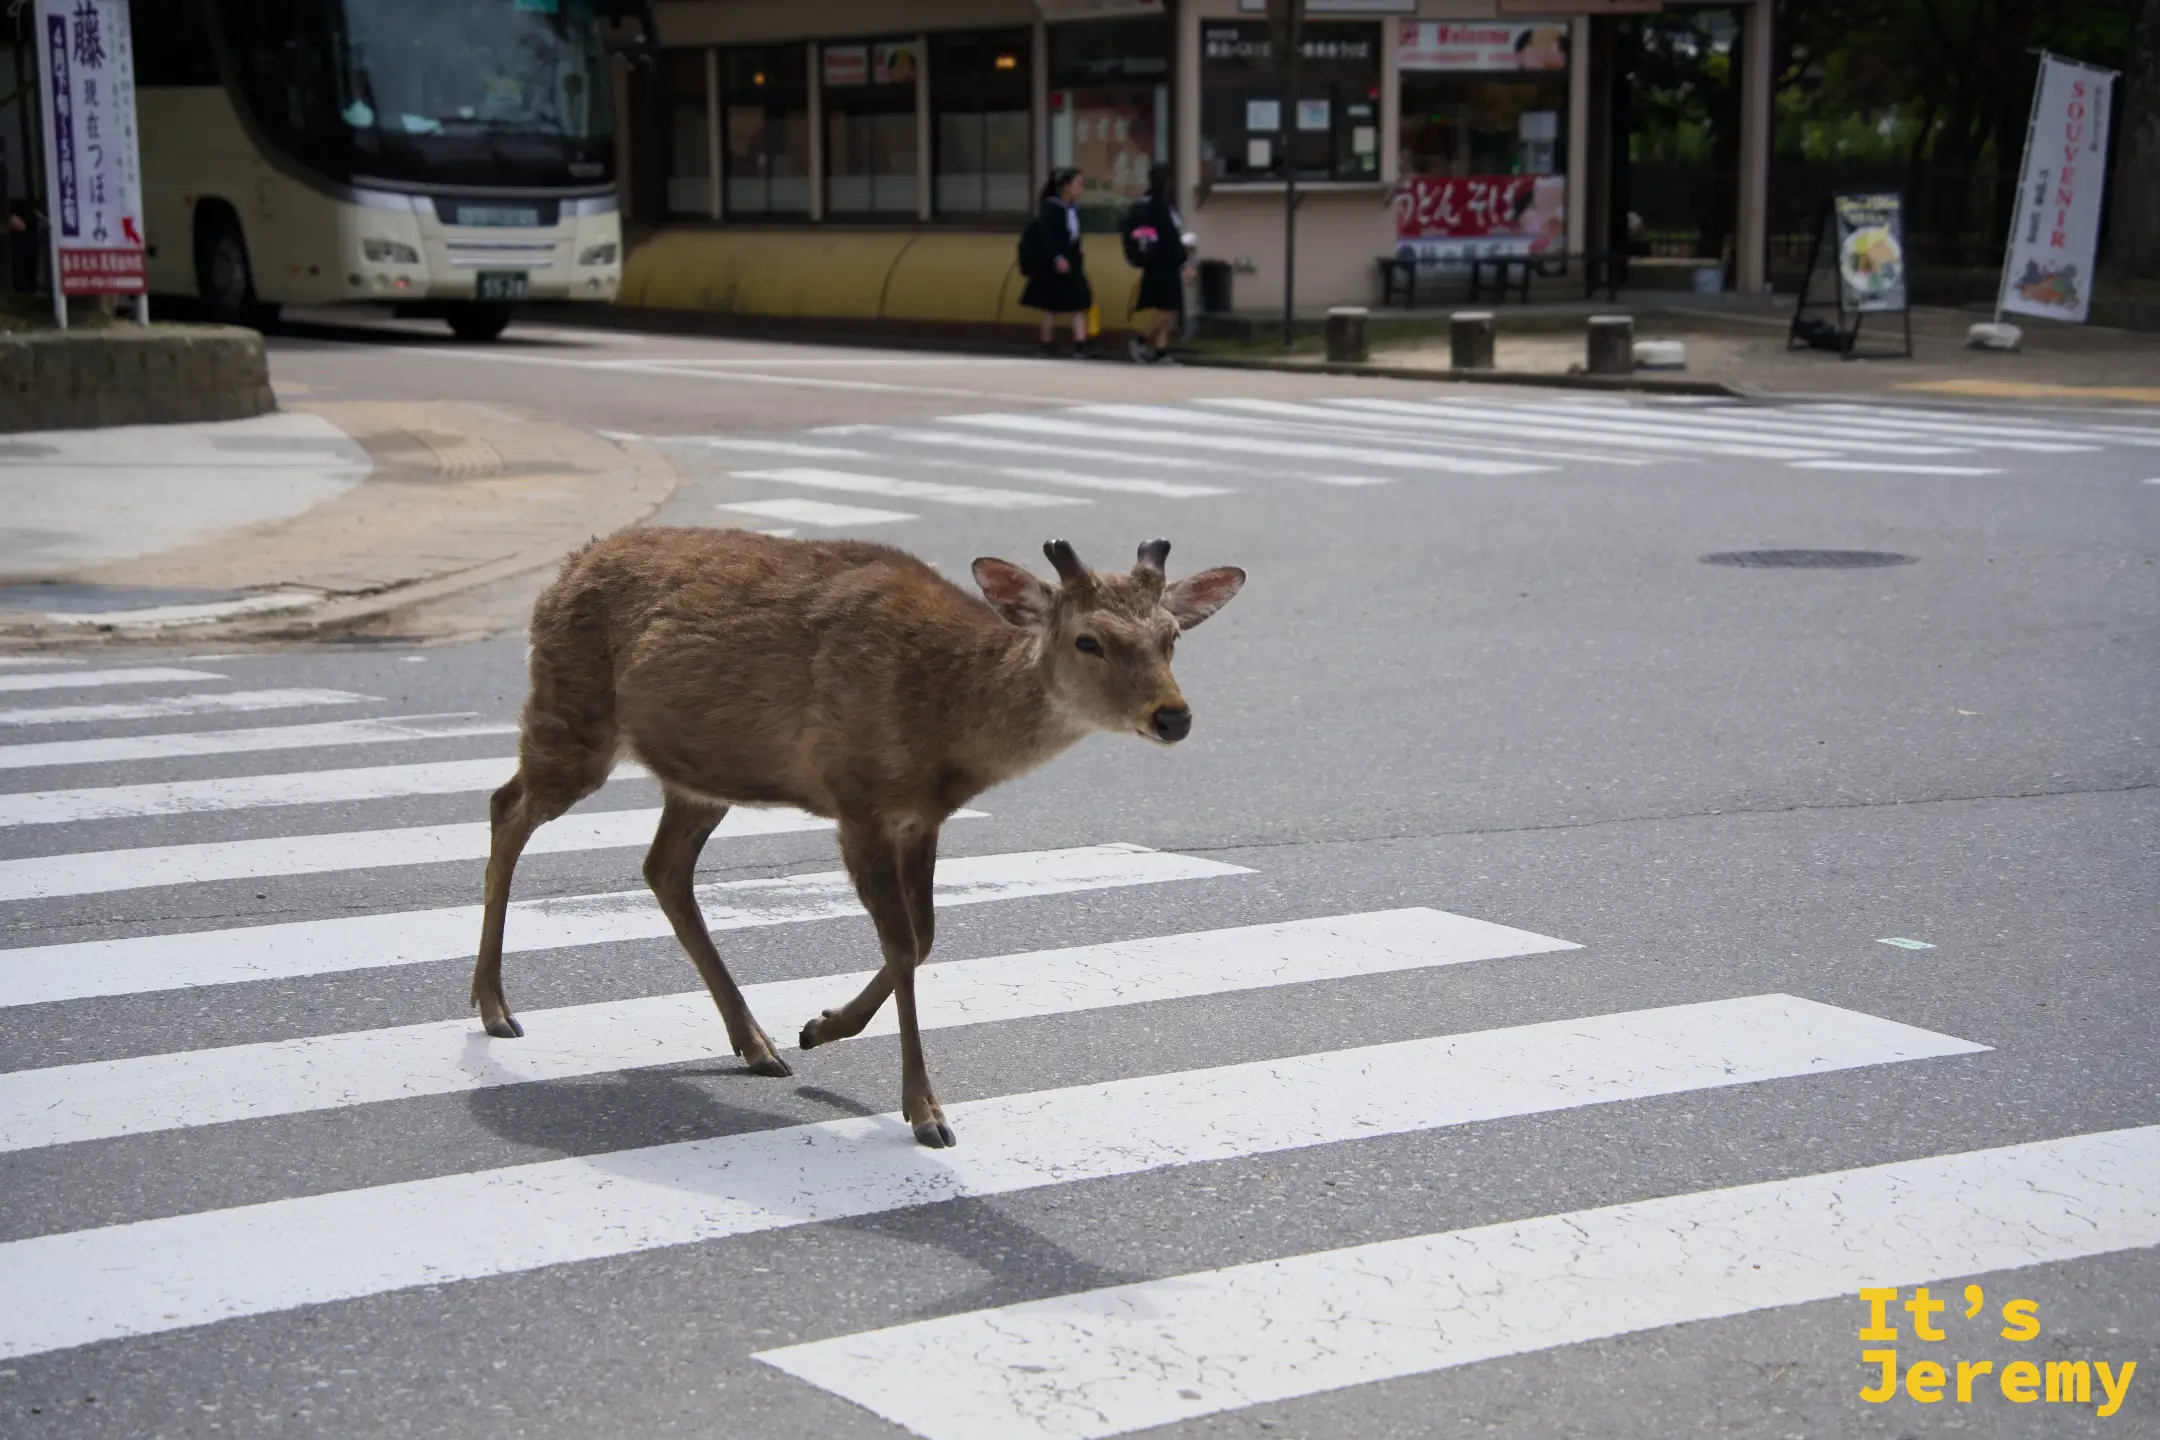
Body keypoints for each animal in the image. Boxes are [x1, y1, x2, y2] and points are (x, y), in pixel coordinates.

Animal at [470, 527, 1246, 1148]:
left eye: (1171, 638)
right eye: (1089, 639)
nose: (1173, 716)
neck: (949, 731)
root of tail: (569, 566)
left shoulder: (921, 817)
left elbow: (924, 938)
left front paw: (820, 1027)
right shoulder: (857, 800)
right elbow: (901, 944)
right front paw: (925, 1111)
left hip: (698, 773)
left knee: (663, 867)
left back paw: (757, 1043)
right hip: (570, 710)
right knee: (507, 807)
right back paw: (495, 1008)